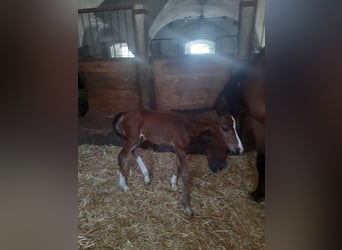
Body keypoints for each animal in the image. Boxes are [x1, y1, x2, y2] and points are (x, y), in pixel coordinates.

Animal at [112, 109, 243, 215]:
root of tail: (125, 114)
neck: (188, 125)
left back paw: (146, 177)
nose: (239, 149)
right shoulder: (180, 148)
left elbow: (177, 165)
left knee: (133, 151)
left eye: (235, 126)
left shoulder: (179, 149)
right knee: (122, 156)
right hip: (133, 138)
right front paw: (187, 207)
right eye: (225, 128)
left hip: (140, 138)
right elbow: (185, 174)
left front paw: (174, 184)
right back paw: (124, 185)